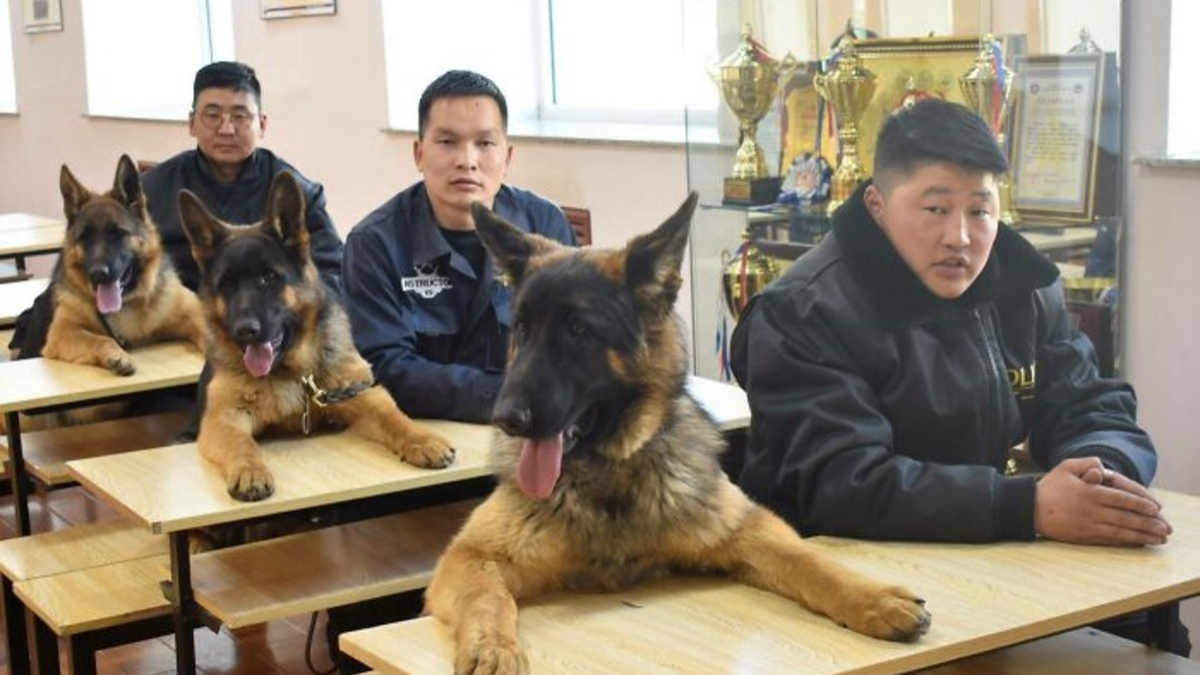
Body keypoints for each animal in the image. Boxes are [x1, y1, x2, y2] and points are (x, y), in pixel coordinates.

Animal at [45, 152, 206, 372]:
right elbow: (100, 339)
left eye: (117, 233)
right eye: (84, 238)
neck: (127, 303)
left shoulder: (194, 311)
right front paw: (117, 355)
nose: (98, 274)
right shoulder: (63, 331)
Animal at [177, 170, 453, 499]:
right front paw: (250, 470)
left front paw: (424, 440)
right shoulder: (223, 418)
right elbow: (242, 443)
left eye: (268, 277)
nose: (245, 331)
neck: (294, 373)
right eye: (227, 284)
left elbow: (393, 417)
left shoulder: (362, 394)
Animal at [427, 192, 931, 667]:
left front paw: (873, 597)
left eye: (577, 330)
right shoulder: (469, 557)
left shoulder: (750, 528)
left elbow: (808, 559)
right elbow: (488, 596)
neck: (613, 478)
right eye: (522, 331)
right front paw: (492, 646)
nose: (506, 419)